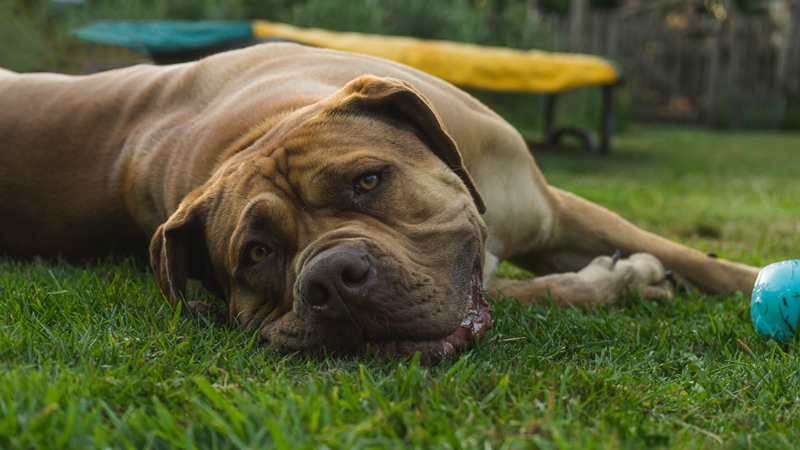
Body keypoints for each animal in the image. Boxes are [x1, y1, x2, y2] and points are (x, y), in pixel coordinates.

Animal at [0, 43, 760, 366]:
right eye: (256, 254)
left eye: (368, 182)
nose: (332, 279)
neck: (263, 122)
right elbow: (536, 289)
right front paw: (616, 280)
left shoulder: (549, 208)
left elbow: (688, 254)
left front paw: (743, 275)